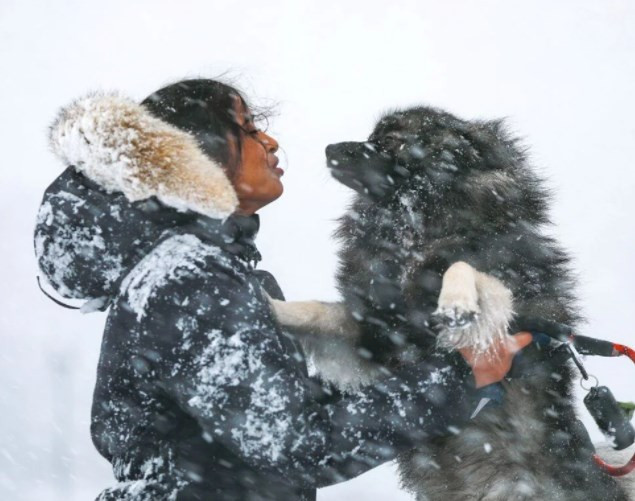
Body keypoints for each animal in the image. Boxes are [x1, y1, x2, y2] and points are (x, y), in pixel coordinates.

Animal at [270, 106, 632, 500]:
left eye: (389, 141)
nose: (329, 148)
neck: (415, 234)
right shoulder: (373, 337)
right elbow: (316, 310)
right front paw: (268, 305)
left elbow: (465, 268)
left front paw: (456, 300)